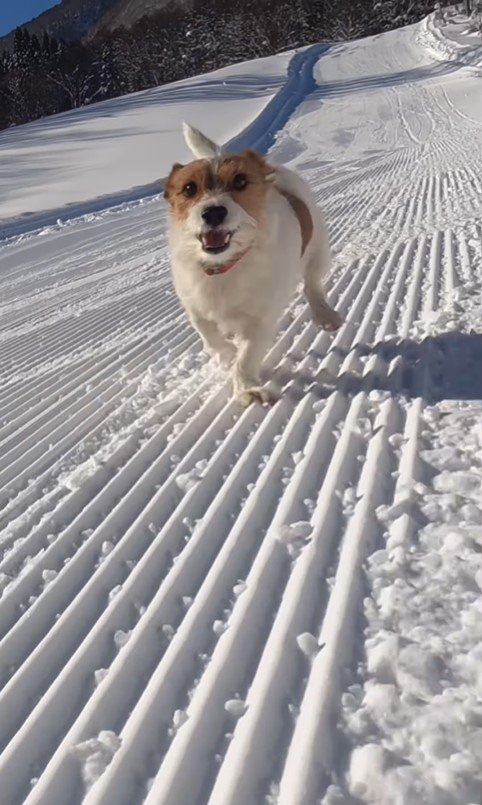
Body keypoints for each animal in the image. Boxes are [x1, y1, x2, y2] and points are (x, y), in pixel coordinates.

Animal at [164, 122, 340, 406]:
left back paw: (326, 315)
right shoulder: (196, 306)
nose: (213, 212)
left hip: (318, 251)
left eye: (240, 181)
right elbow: (210, 335)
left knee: (312, 286)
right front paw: (227, 354)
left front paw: (246, 388)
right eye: (189, 188)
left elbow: (246, 356)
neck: (226, 266)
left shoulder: (259, 319)